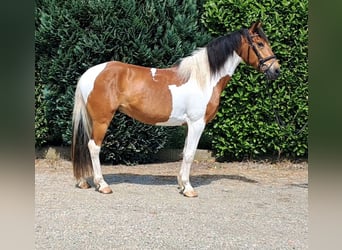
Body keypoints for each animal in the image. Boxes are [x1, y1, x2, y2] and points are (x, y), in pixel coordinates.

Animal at [71, 21, 280, 197]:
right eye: (260, 44)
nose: (276, 69)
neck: (204, 79)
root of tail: (89, 74)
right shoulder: (197, 124)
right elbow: (189, 154)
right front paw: (188, 188)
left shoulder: (189, 125)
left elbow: (186, 152)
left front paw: (181, 184)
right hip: (102, 119)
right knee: (94, 147)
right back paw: (102, 185)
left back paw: (83, 182)